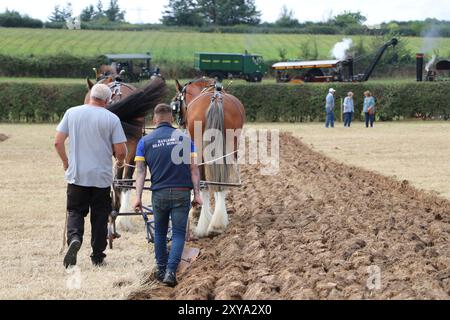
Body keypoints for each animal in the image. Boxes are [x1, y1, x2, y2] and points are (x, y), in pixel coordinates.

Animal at [175, 77, 246, 238]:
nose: (180, 122)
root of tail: (216, 99)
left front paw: (196, 212)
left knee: (203, 180)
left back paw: (204, 222)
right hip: (229, 147)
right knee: (221, 181)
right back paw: (217, 223)